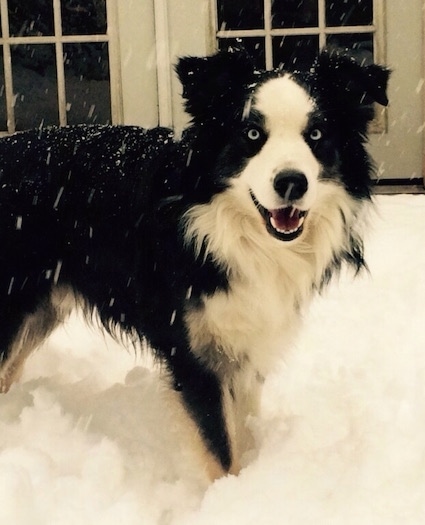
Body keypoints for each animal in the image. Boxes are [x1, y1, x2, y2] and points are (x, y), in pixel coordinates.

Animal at [0, 47, 388, 476]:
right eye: (252, 134)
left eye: (317, 134)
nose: (292, 182)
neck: (226, 230)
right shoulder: (192, 352)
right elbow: (219, 449)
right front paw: (227, 491)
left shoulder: (246, 340)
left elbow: (241, 430)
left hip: (39, 310)